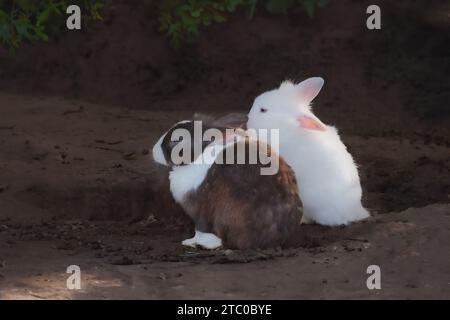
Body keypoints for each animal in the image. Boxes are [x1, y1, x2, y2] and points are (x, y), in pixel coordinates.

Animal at [152, 120, 302, 250]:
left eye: (176, 140)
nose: (153, 150)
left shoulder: (199, 209)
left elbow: (200, 229)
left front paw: (190, 241)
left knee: (225, 241)